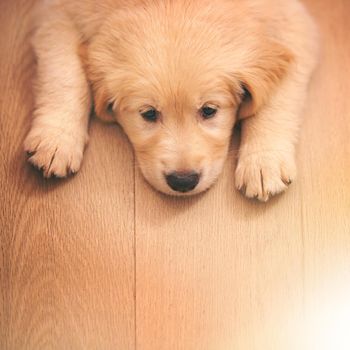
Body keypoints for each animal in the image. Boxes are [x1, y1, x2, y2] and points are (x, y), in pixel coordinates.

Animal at [24, 0, 318, 200]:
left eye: (209, 111)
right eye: (149, 114)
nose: (183, 181)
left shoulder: (292, 21)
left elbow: (277, 98)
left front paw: (263, 162)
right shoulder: (57, 12)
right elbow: (63, 71)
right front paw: (56, 140)